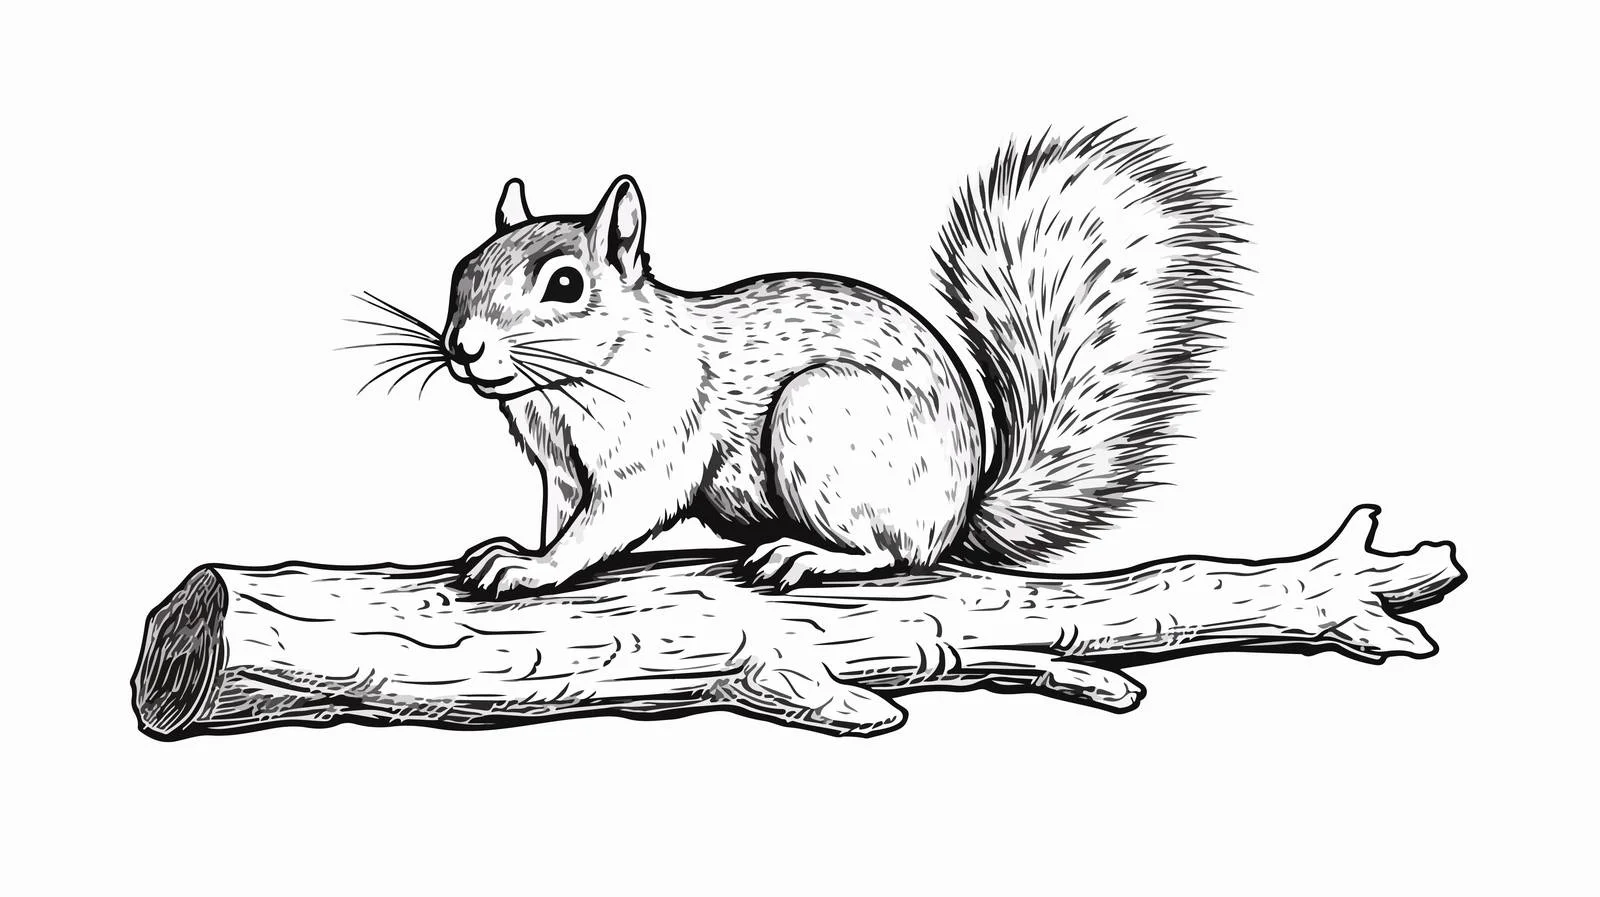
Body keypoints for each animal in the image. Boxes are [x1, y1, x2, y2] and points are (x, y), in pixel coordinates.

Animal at [441, 123, 1244, 597]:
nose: (463, 346)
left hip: (823, 416)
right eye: (462, 270)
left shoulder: (659, 437)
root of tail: (959, 511)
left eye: (565, 285)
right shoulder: (556, 464)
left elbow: (617, 513)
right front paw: (525, 548)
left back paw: (811, 555)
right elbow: (563, 511)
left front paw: (536, 566)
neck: (560, 390)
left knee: (898, 554)